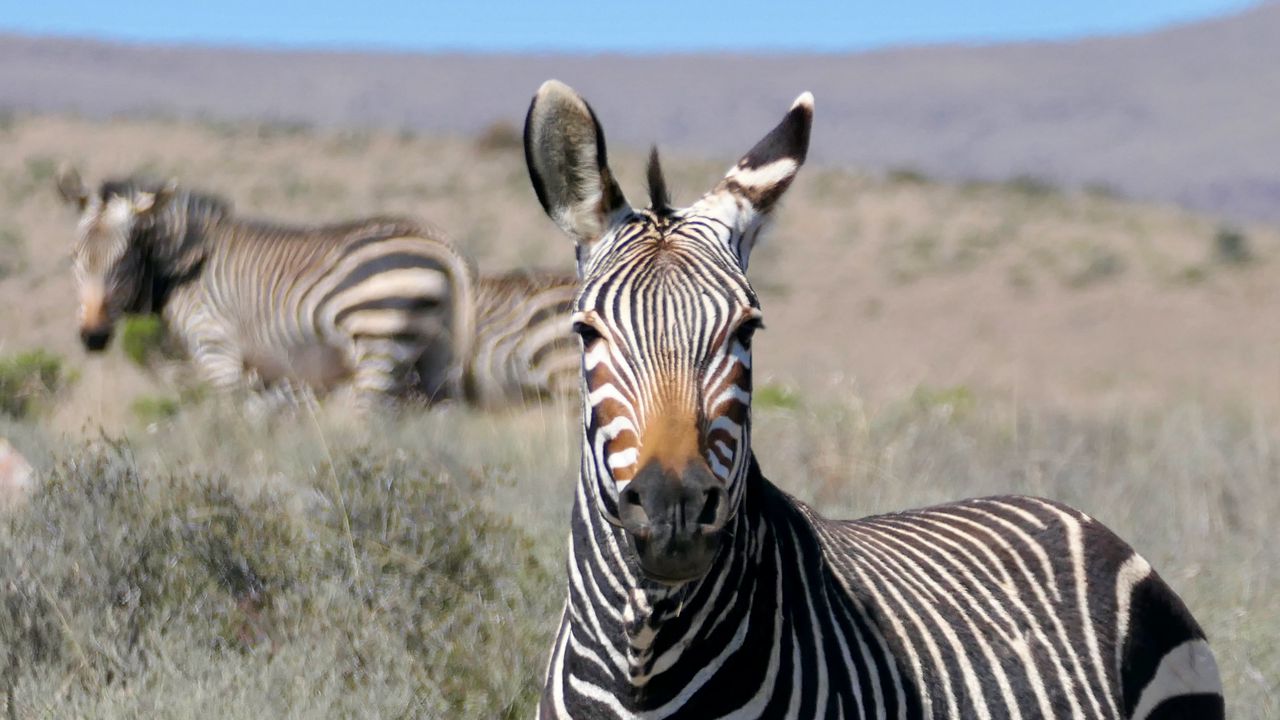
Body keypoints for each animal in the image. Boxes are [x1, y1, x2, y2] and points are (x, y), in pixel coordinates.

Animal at [55, 169, 474, 405]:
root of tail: (443, 244)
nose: (92, 338)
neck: (183, 270)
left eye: (124, 259)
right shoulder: (263, 370)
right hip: (434, 359)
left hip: (379, 342)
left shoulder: (217, 352)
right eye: (74, 257)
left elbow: (231, 428)